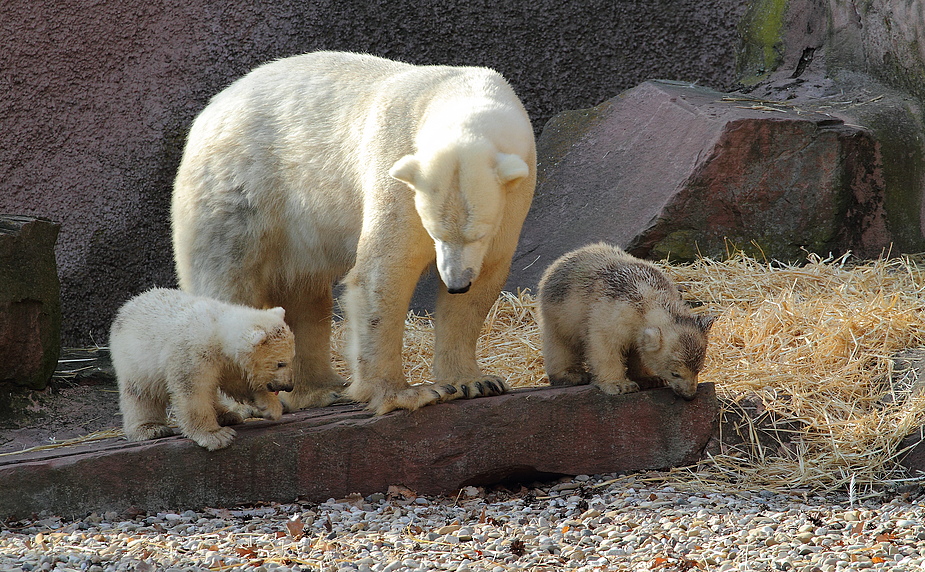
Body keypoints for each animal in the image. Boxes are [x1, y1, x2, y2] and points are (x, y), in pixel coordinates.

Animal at [172, 51, 536, 414]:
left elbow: (484, 279)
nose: (455, 282)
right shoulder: (395, 166)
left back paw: (321, 390)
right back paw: (242, 402)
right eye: (434, 232)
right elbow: (384, 271)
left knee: (304, 296)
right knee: (228, 279)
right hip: (238, 192)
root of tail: (209, 112)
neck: (455, 91)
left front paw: (476, 381)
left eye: (478, 234)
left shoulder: (514, 198)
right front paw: (406, 394)